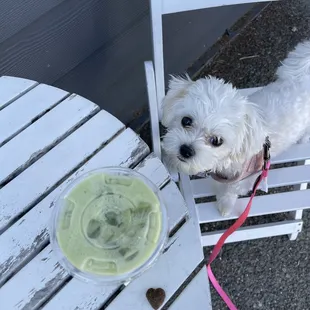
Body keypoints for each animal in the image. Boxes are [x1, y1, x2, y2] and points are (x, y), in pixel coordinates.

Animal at [161, 40, 310, 216]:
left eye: (217, 141)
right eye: (186, 120)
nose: (186, 150)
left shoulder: (247, 178)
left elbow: (231, 190)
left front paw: (225, 204)